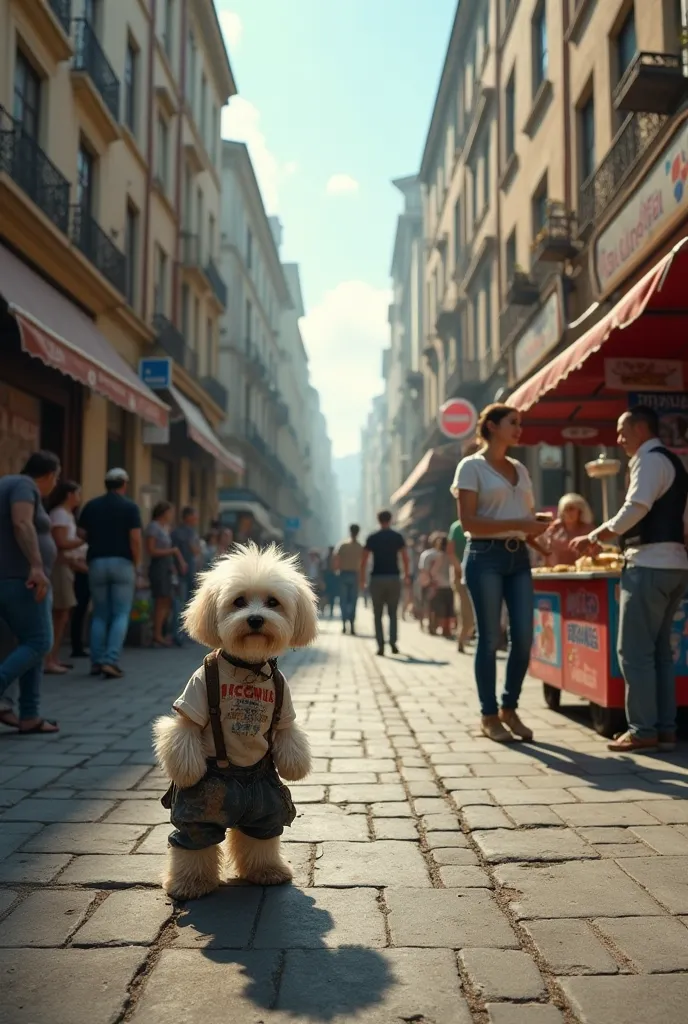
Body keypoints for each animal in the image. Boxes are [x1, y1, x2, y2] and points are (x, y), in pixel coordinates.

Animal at [151, 544, 319, 897]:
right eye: (238, 601)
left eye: (273, 602)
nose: (255, 619)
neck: (247, 668)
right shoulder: (195, 694)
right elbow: (182, 731)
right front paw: (187, 770)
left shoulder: (286, 705)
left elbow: (288, 733)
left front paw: (295, 765)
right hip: (201, 809)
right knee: (194, 839)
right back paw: (189, 883)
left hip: (267, 804)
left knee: (260, 835)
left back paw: (267, 870)